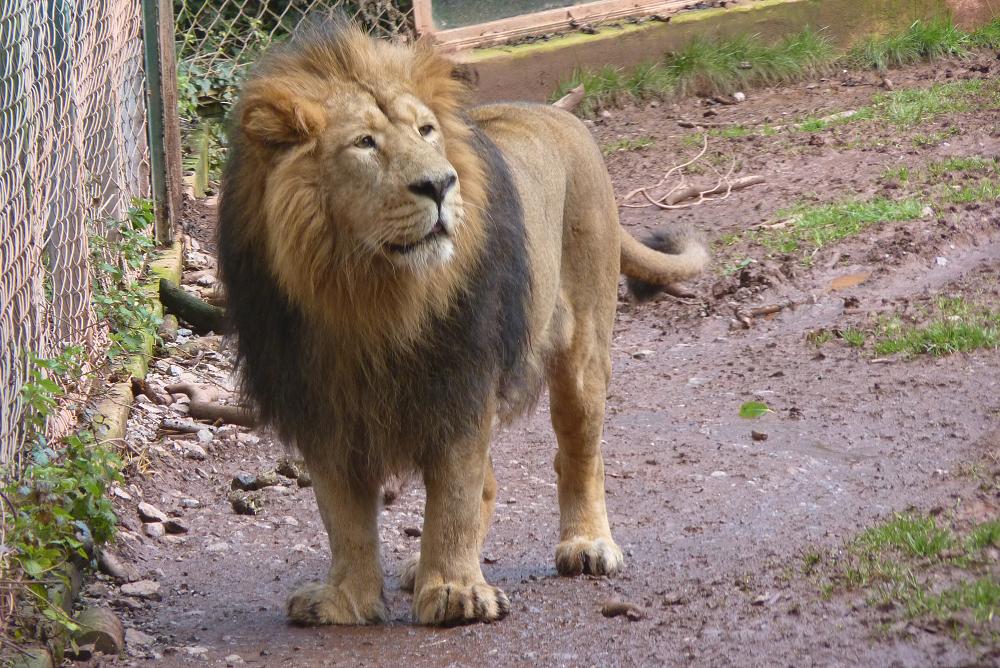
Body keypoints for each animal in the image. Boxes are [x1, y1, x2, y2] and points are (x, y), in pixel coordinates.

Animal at [217, 21, 707, 627]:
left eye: (426, 131)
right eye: (364, 143)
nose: (440, 184)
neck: (366, 296)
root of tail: (559, 115)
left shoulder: (461, 379)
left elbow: (453, 493)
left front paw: (456, 593)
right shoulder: (319, 403)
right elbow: (343, 517)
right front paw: (345, 600)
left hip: (584, 347)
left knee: (580, 452)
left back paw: (587, 545)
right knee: (491, 483)